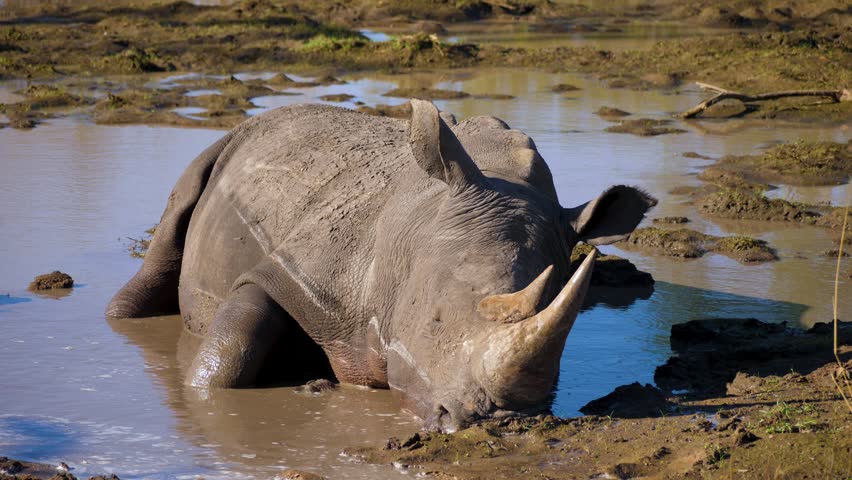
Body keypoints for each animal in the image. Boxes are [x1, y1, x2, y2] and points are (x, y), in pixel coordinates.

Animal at [107, 99, 655, 430]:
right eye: (435, 322)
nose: (505, 421)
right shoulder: (294, 271)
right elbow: (229, 355)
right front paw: (205, 396)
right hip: (222, 147)